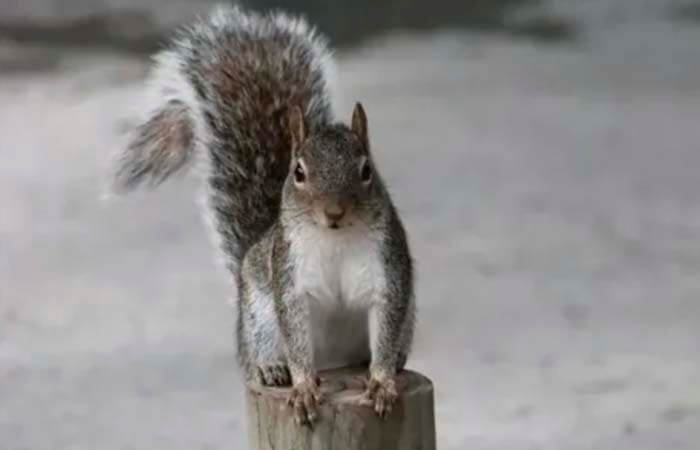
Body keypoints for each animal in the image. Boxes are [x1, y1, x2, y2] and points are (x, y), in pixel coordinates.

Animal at [113, 5, 415, 425]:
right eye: (299, 172)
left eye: (366, 170)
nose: (334, 212)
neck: (335, 238)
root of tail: (335, 365)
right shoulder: (289, 278)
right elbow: (296, 334)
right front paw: (302, 387)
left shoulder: (387, 272)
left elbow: (385, 328)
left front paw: (383, 382)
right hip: (258, 315)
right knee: (260, 350)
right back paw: (271, 368)